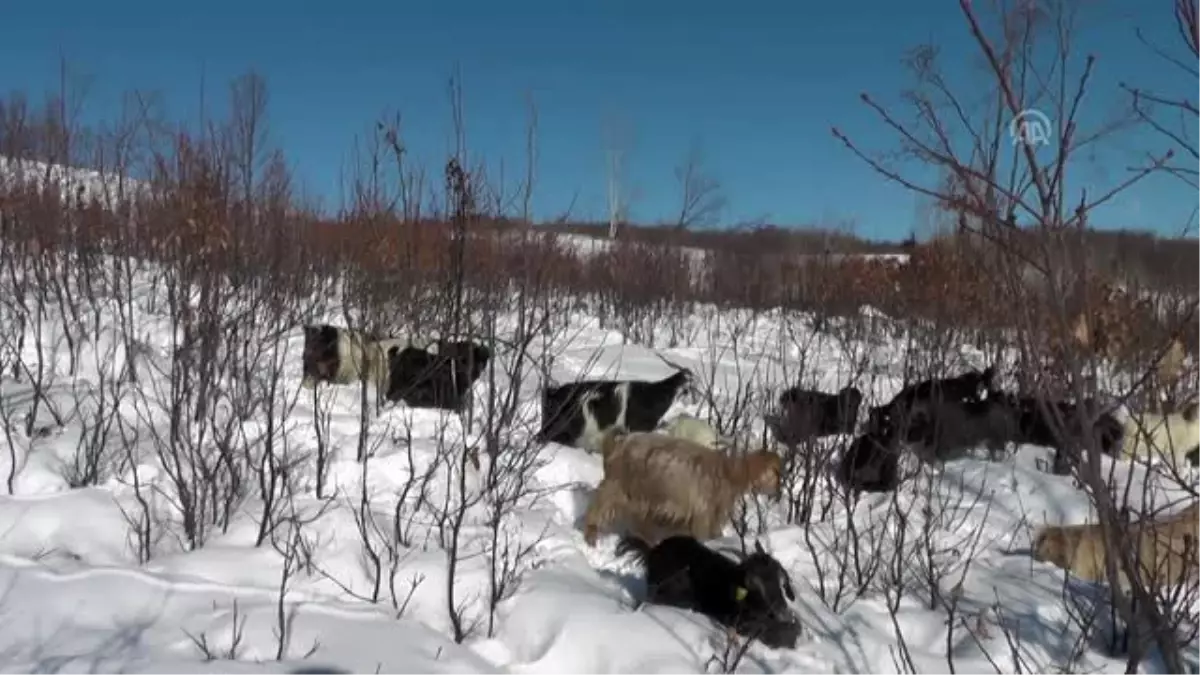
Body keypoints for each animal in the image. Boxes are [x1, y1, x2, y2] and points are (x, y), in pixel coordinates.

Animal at [578, 429, 782, 547]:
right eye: (776, 472)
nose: (778, 492)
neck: (730, 473)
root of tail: (618, 445)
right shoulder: (704, 512)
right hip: (619, 486)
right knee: (599, 509)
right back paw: (591, 536)